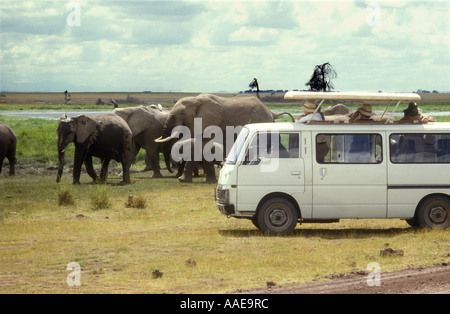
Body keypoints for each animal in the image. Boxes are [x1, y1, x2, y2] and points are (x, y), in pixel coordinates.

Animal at [156, 92, 294, 182]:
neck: (196, 99)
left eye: (182, 113)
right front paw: (209, 181)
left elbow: (200, 145)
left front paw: (182, 180)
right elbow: (204, 145)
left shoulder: (210, 121)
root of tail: (271, 112)